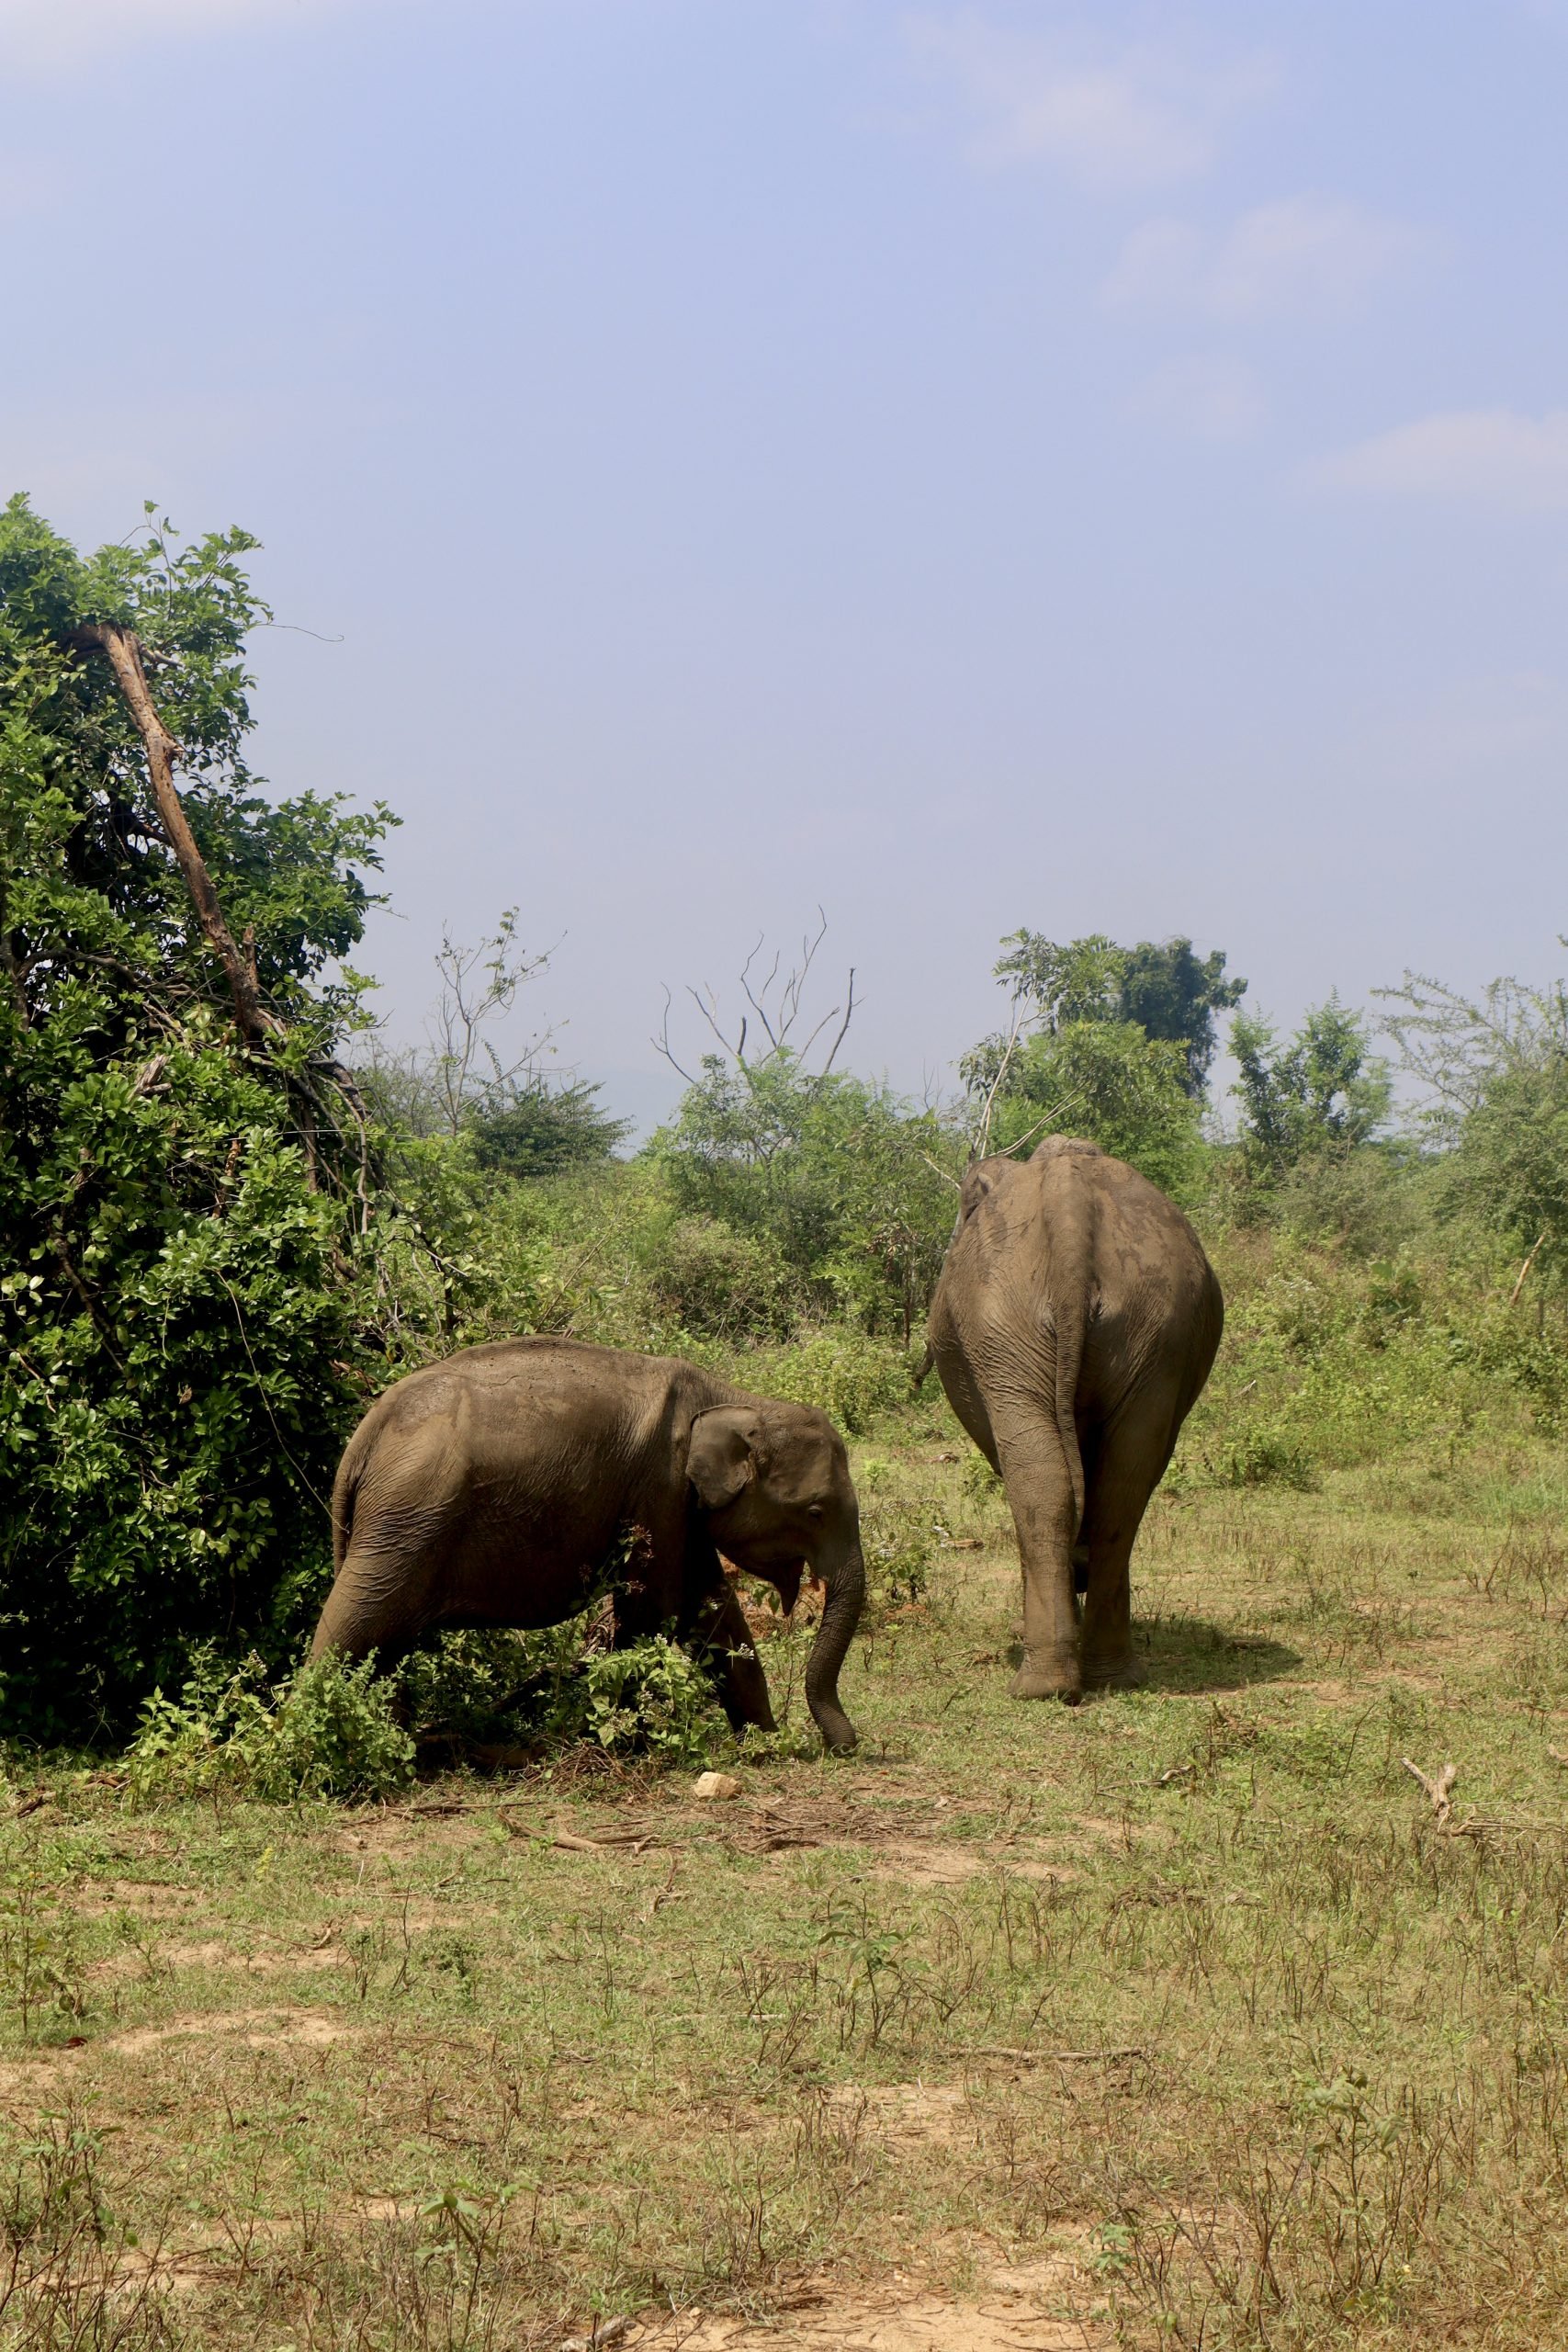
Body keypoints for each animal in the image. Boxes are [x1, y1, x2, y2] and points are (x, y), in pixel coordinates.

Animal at [305, 1336, 869, 1758]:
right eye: (815, 1512)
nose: (841, 1747)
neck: (735, 1398)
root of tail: (365, 1435)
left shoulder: (679, 1508)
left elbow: (712, 1610)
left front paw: (763, 1743)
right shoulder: (660, 1490)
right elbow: (656, 1611)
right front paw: (632, 1745)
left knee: (383, 1638)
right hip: (408, 1517)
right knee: (358, 1619)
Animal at [926, 1133, 1222, 1702]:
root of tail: (1070, 1207)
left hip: (1004, 1326)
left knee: (1046, 1485)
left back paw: (1039, 1685)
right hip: (1155, 1326)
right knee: (1118, 1488)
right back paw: (1112, 1677)